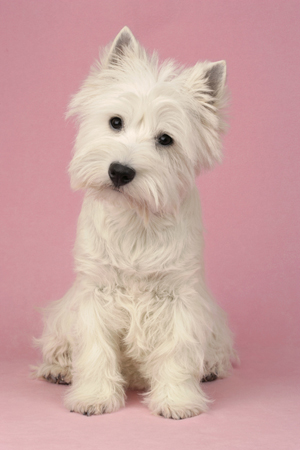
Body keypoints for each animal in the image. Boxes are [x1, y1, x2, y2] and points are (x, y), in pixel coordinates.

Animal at [32, 27, 236, 418]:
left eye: (165, 139)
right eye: (115, 122)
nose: (120, 171)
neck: (135, 218)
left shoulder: (179, 296)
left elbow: (177, 352)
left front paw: (177, 401)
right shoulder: (95, 292)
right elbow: (95, 350)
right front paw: (93, 398)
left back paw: (211, 368)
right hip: (62, 316)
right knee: (58, 343)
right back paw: (58, 370)